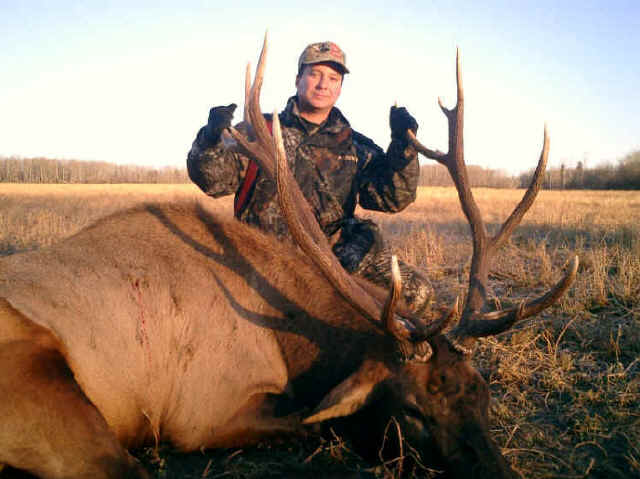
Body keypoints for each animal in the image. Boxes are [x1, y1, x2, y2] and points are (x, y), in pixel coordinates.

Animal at [0, 34, 577, 478]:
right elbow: (312, 427)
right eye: (415, 409)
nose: (500, 474)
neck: (290, 344)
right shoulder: (198, 414)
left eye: (482, 393)